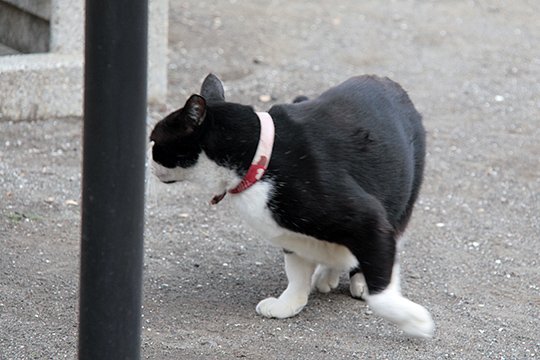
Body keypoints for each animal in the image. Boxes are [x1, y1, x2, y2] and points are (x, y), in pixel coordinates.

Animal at [151, 72, 434, 338]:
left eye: (155, 141)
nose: (149, 159)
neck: (259, 158)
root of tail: (384, 80)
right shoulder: (290, 236)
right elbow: (296, 271)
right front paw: (289, 304)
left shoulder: (367, 218)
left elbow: (381, 293)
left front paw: (415, 321)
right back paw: (327, 273)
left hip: (403, 192)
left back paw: (359, 277)